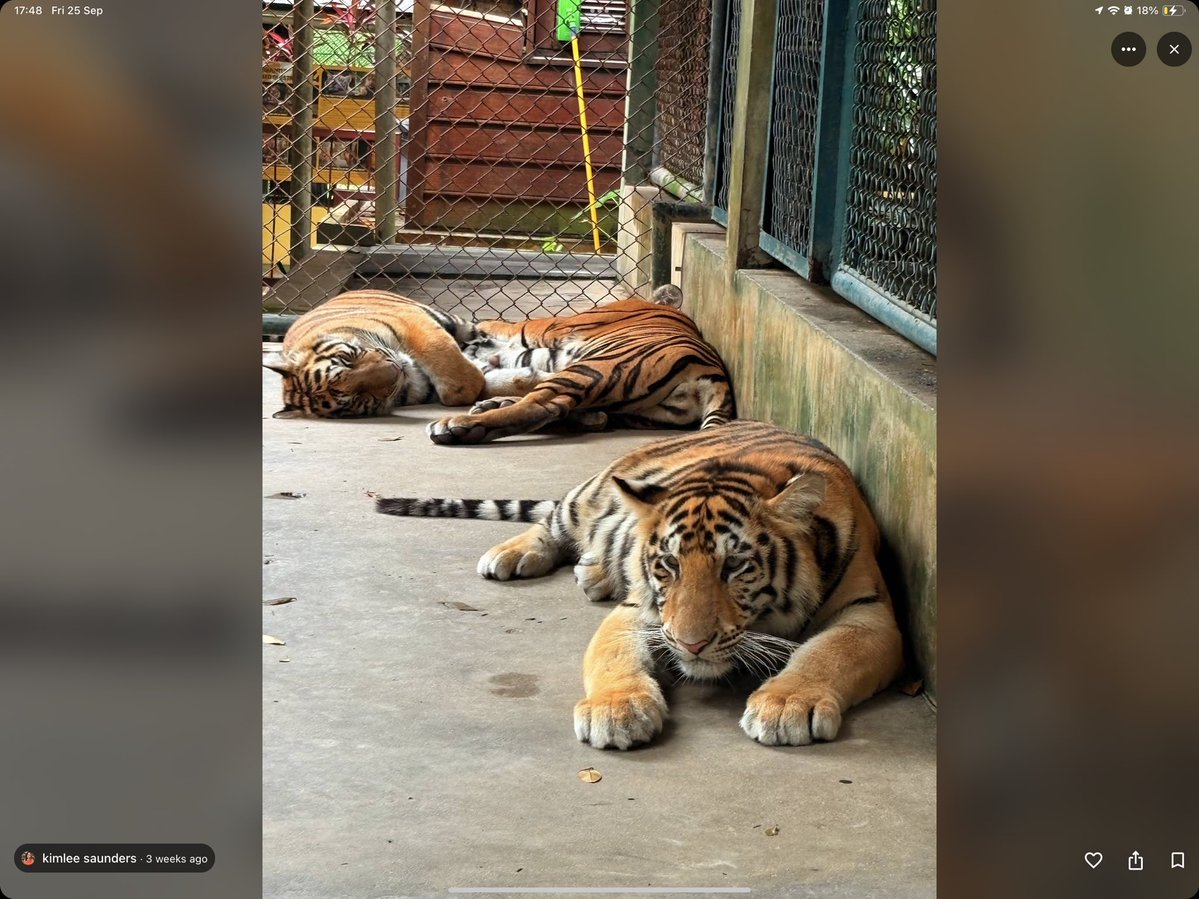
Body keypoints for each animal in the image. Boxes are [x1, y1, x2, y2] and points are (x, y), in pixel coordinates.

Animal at [263, 289, 552, 419]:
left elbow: (458, 378)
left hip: (450, 320)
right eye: (357, 398)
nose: (395, 370)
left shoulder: (412, 323)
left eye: (348, 358)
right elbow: (476, 382)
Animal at [374, 420, 904, 750]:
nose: (691, 644)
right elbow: (613, 656)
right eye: (669, 564)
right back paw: (512, 555)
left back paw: (593, 571)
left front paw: (787, 705)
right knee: (552, 520)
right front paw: (616, 712)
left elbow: (828, 653)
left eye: (735, 566)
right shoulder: (639, 612)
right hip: (589, 493)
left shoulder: (870, 612)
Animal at [426, 296, 734, 445]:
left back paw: (459, 426)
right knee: (588, 414)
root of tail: (716, 378)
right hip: (636, 409)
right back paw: (492, 404)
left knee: (543, 406)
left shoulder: (548, 326)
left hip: (597, 368)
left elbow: (502, 326)